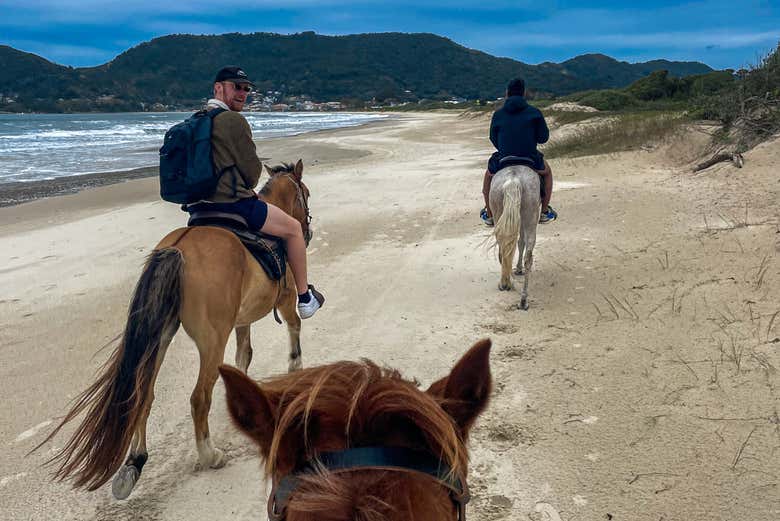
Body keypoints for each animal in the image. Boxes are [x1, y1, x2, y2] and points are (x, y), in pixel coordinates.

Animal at [36, 159, 313, 500]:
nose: (307, 231)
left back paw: (135, 461)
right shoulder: (284, 300)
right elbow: (292, 329)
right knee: (198, 398)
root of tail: (178, 249)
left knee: (143, 395)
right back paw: (210, 455)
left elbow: (244, 355)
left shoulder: (242, 319)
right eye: (306, 194)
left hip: (160, 339)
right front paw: (294, 368)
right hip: (212, 340)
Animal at [488, 165, 541, 310]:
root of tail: (513, 179)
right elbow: (520, 242)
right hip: (530, 217)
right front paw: (518, 269)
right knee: (523, 253)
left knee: (506, 249)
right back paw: (519, 296)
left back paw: (511, 288)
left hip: (501, 214)